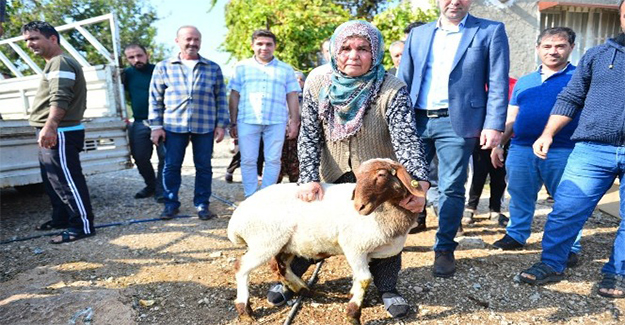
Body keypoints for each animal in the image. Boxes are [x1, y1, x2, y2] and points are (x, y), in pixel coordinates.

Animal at [227, 156, 426, 322]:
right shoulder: (355, 247)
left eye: (382, 174)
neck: (383, 211)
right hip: (265, 242)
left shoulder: (367, 252)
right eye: (358, 177)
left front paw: (354, 298)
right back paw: (245, 310)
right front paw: (353, 314)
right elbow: (364, 278)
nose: (358, 206)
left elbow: (358, 278)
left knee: (280, 266)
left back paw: (305, 290)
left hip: (286, 244)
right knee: (241, 267)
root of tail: (236, 220)